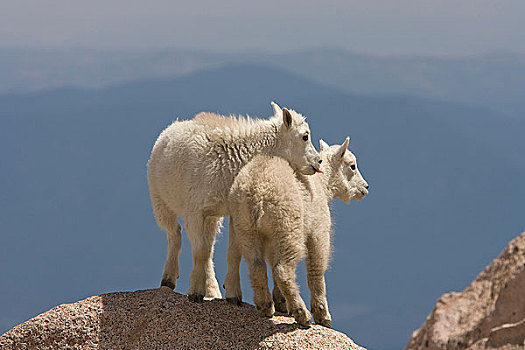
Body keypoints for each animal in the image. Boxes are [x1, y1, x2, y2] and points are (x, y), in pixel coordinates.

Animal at [145, 101, 322, 300]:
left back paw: (212, 291)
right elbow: (199, 251)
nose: (318, 162)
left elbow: (232, 253)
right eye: (305, 136)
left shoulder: (233, 212)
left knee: (208, 246)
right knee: (175, 234)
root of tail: (168, 131)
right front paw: (195, 293)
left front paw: (233, 294)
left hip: (213, 216)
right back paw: (168, 278)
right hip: (159, 200)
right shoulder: (195, 211)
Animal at [225, 137, 368, 328]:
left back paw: (265, 306)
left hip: (246, 227)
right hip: (287, 226)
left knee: (257, 265)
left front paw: (281, 303)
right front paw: (322, 315)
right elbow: (316, 267)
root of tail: (256, 192)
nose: (365, 187)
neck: (322, 184)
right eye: (352, 166)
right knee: (283, 270)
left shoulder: (270, 238)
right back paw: (302, 314)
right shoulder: (318, 229)